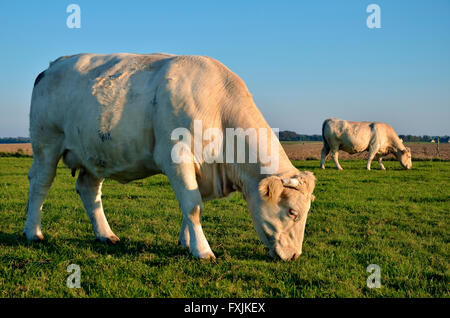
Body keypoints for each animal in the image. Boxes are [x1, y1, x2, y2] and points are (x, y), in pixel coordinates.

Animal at [25, 52, 316, 260]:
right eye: (292, 212)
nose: (294, 256)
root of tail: (52, 66)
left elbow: (192, 205)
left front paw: (185, 242)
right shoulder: (178, 158)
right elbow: (193, 206)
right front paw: (202, 251)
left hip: (95, 152)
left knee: (89, 190)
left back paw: (106, 235)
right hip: (46, 143)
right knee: (40, 184)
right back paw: (33, 232)